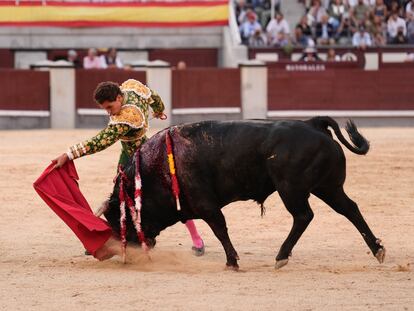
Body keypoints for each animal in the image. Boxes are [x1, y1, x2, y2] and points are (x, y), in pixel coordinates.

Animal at [103, 117, 384, 270]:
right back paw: (378, 249)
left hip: (291, 189)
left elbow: (220, 229)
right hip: (327, 187)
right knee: (350, 209)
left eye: (118, 219)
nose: (119, 253)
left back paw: (281, 256)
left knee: (304, 216)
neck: (156, 166)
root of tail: (313, 124)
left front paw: (232, 262)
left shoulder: (206, 204)